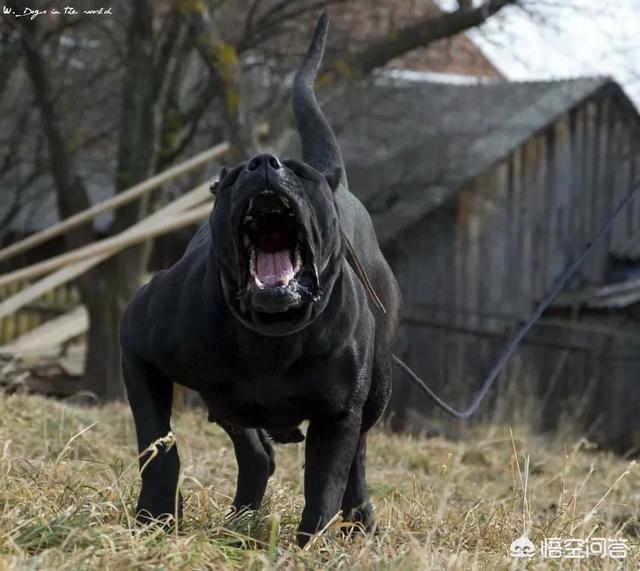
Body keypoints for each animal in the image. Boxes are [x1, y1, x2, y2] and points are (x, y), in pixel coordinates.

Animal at [120, 15, 400, 548]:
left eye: (301, 174)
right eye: (231, 177)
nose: (264, 162)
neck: (272, 335)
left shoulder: (338, 414)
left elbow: (326, 483)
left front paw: (309, 547)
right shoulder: (140, 351)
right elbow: (158, 445)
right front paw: (155, 518)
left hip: (375, 391)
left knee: (355, 458)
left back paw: (359, 520)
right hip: (224, 399)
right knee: (257, 453)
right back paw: (240, 517)